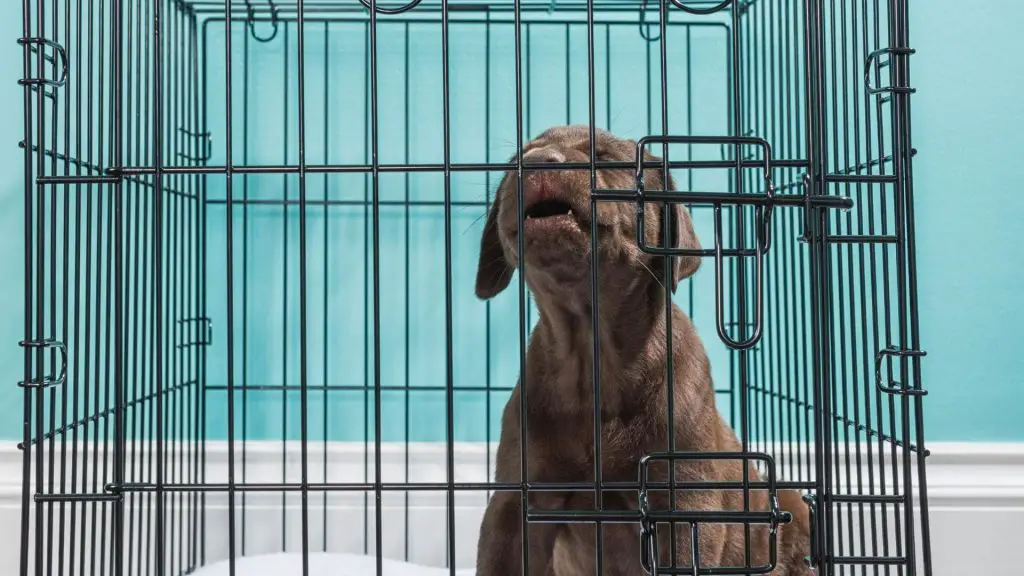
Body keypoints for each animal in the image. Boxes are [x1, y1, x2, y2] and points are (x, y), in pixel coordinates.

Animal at [468, 126, 806, 573]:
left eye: (608, 158)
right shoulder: (515, 504)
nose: (538, 163)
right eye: (516, 161)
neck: (592, 355)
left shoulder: (686, 506)